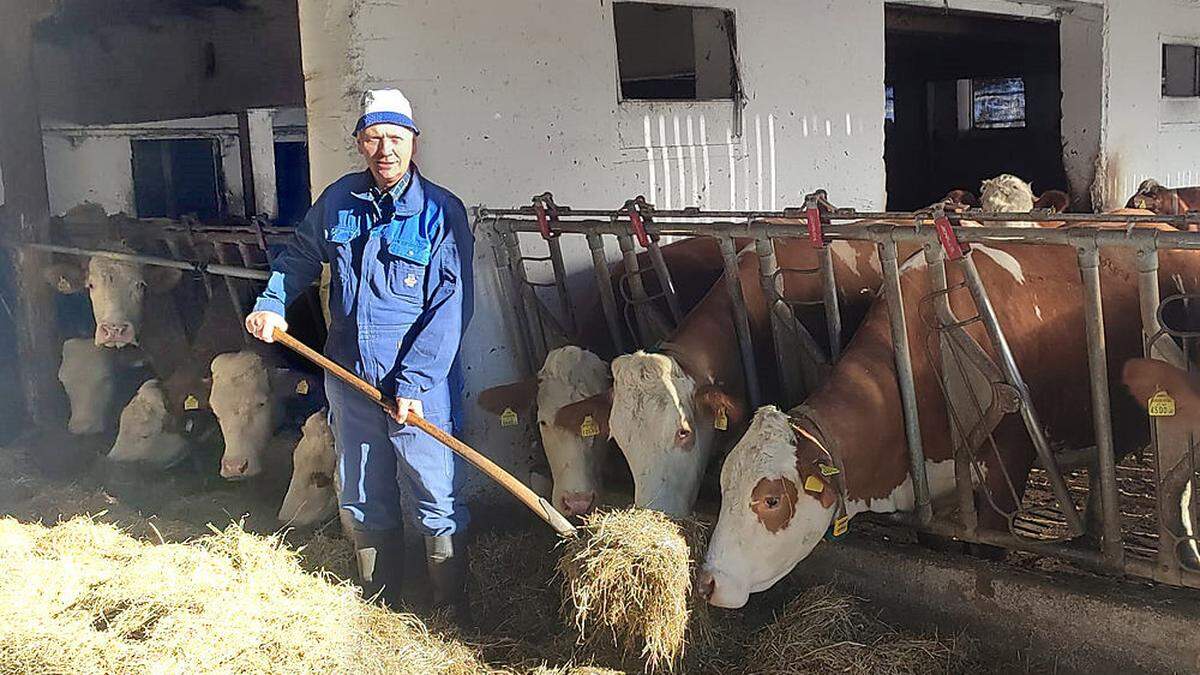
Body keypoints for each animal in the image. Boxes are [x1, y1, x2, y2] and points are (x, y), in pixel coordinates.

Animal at [700, 212, 1195, 607]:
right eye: (722, 485)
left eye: (770, 499)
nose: (707, 582)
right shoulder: (926, 490)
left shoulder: (1005, 473)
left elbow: (986, 554)